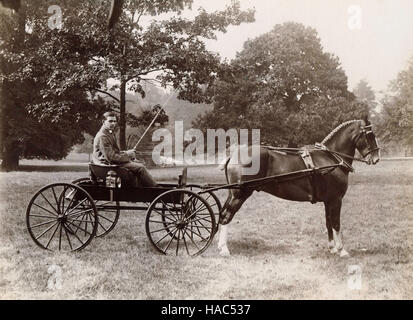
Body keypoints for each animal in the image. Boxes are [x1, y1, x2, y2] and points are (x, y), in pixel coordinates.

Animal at [217, 117, 378, 258]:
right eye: (370, 135)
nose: (376, 158)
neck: (330, 158)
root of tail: (233, 155)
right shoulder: (336, 200)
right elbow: (336, 224)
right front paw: (342, 250)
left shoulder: (328, 201)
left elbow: (328, 223)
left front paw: (332, 248)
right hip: (240, 195)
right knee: (226, 216)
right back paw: (224, 249)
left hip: (233, 194)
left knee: (222, 213)